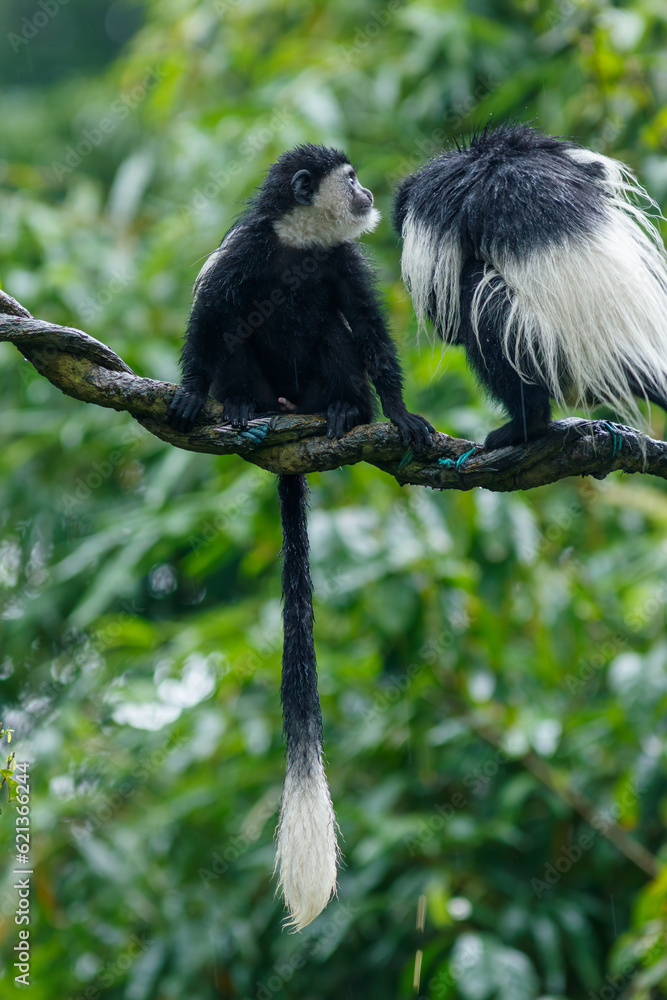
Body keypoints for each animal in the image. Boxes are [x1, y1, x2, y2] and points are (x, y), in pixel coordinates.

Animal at [166, 144, 434, 929]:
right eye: (352, 179)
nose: (370, 192)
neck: (299, 245)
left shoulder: (342, 263)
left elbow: (368, 331)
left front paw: (399, 413)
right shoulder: (246, 251)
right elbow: (210, 316)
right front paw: (191, 391)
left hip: (315, 382)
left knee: (335, 342)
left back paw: (346, 411)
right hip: (261, 380)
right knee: (235, 338)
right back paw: (243, 406)